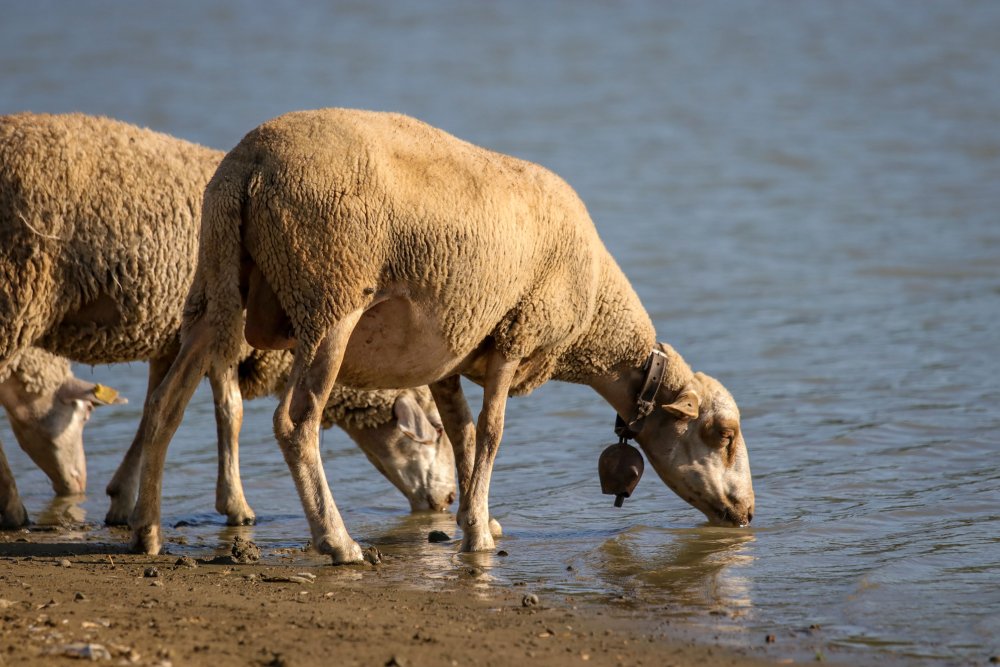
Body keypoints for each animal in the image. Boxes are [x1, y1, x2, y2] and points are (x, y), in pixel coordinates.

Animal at [0, 112, 454, 532]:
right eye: (435, 430)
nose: (449, 499)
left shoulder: (174, 338)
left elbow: (152, 411)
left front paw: (125, 498)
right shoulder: (229, 336)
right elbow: (230, 411)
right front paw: (235, 505)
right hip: (17, 291)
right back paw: (13, 508)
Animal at [123, 108, 752, 564]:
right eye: (722, 434)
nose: (747, 515)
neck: (595, 315)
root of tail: (246, 165)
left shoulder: (453, 353)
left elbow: (466, 434)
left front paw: (479, 517)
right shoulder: (517, 334)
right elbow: (493, 432)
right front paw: (477, 534)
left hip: (213, 290)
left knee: (164, 406)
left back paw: (146, 532)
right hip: (329, 296)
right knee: (295, 422)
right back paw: (338, 542)